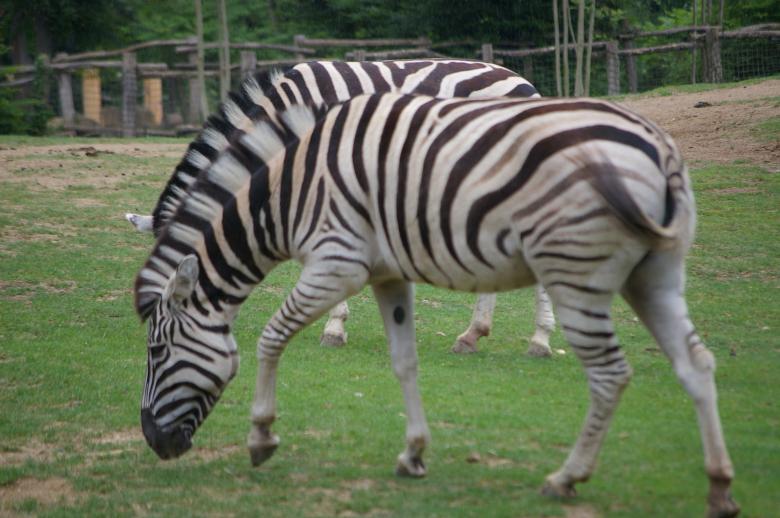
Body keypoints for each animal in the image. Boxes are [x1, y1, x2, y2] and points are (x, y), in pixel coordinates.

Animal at [133, 93, 739, 517]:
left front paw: (261, 437)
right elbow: (405, 363)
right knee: (697, 364)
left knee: (611, 375)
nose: (154, 443)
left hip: (575, 271)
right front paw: (414, 454)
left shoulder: (336, 261)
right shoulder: (388, 274)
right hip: (654, 275)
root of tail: (657, 145)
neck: (287, 193)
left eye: (157, 351)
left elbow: (270, 338)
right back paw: (719, 488)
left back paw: (566, 477)